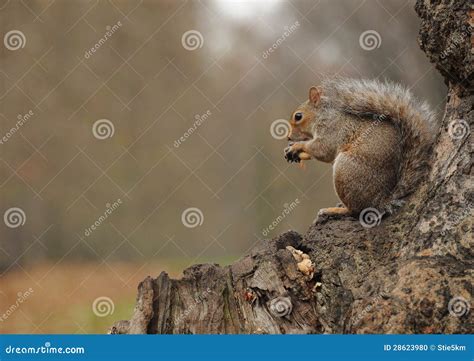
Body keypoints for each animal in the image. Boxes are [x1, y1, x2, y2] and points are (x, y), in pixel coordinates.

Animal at [284, 77, 436, 217]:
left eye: (298, 116)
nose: (289, 137)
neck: (322, 115)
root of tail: (382, 200)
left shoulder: (332, 130)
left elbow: (323, 150)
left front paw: (297, 146)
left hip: (346, 169)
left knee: (356, 210)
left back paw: (335, 210)